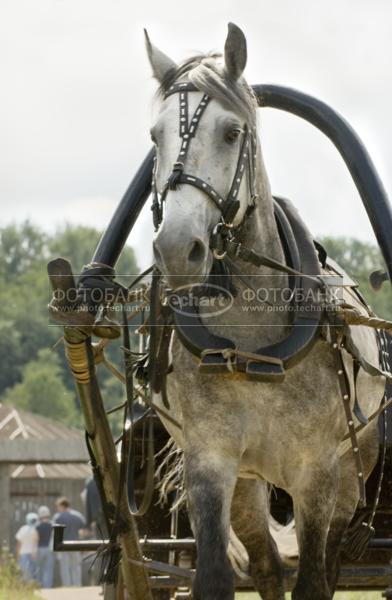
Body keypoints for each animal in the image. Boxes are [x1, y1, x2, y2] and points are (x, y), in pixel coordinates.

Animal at [145, 23, 384, 600]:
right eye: (155, 137)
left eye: (232, 133)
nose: (177, 249)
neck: (251, 344)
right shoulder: (211, 461)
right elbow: (215, 576)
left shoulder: (316, 472)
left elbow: (315, 581)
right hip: (250, 484)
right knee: (268, 564)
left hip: (353, 471)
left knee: (329, 560)